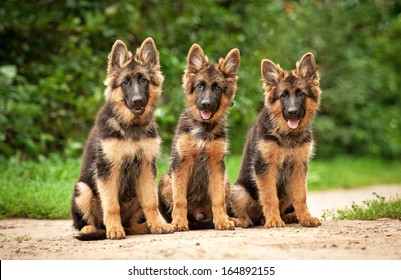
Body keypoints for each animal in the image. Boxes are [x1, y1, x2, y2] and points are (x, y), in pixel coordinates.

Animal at [70, 37, 173, 240]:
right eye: (125, 83)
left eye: (143, 80)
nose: (137, 101)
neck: (131, 126)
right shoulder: (108, 168)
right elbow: (111, 206)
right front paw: (114, 230)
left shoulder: (146, 167)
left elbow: (151, 202)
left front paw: (157, 225)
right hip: (82, 189)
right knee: (83, 222)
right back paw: (92, 228)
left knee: (131, 224)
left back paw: (142, 227)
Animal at [156, 44, 239, 230]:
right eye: (200, 86)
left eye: (217, 88)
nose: (205, 105)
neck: (204, 130)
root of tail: (199, 215)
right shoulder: (182, 162)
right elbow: (179, 199)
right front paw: (179, 222)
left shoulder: (216, 164)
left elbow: (218, 199)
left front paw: (222, 221)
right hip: (165, 180)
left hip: (226, 182)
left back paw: (231, 219)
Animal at [230, 53, 320, 229]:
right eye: (283, 95)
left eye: (301, 94)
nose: (292, 112)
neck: (287, 134)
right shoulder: (264, 167)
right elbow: (269, 196)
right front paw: (273, 220)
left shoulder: (298, 167)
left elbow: (301, 196)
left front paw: (306, 217)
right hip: (239, 191)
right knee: (245, 214)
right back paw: (242, 220)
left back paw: (289, 216)